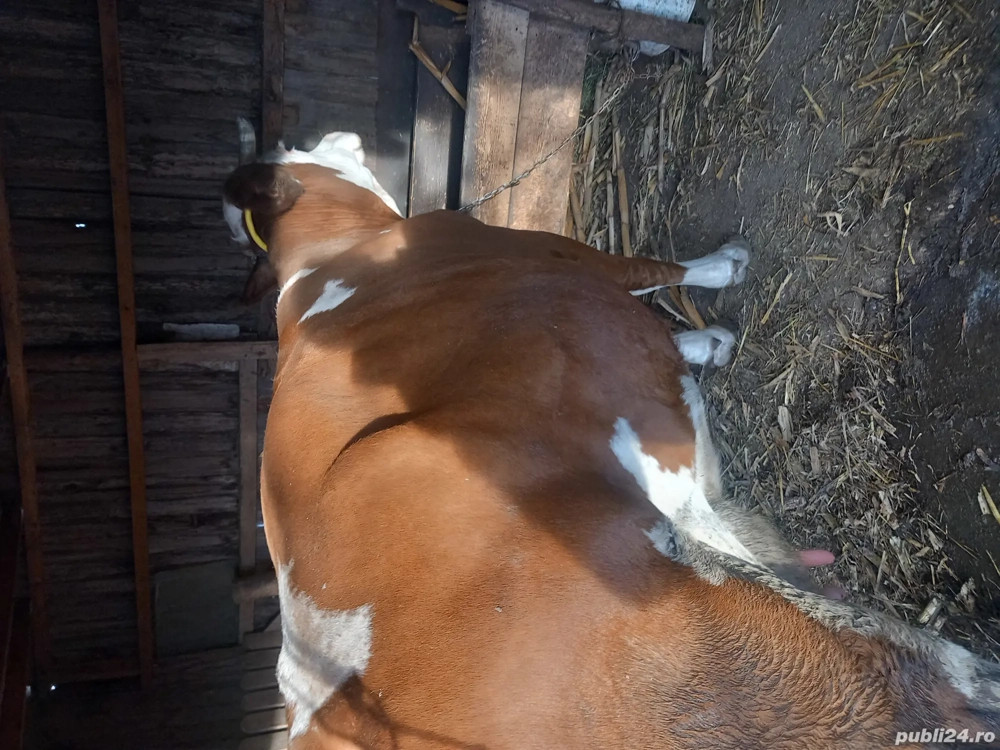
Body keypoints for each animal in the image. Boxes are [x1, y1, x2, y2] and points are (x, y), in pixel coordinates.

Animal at [223, 132, 1000, 749]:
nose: (331, 135)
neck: (332, 261)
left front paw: (703, 343)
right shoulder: (560, 251)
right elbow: (652, 270)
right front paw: (724, 270)